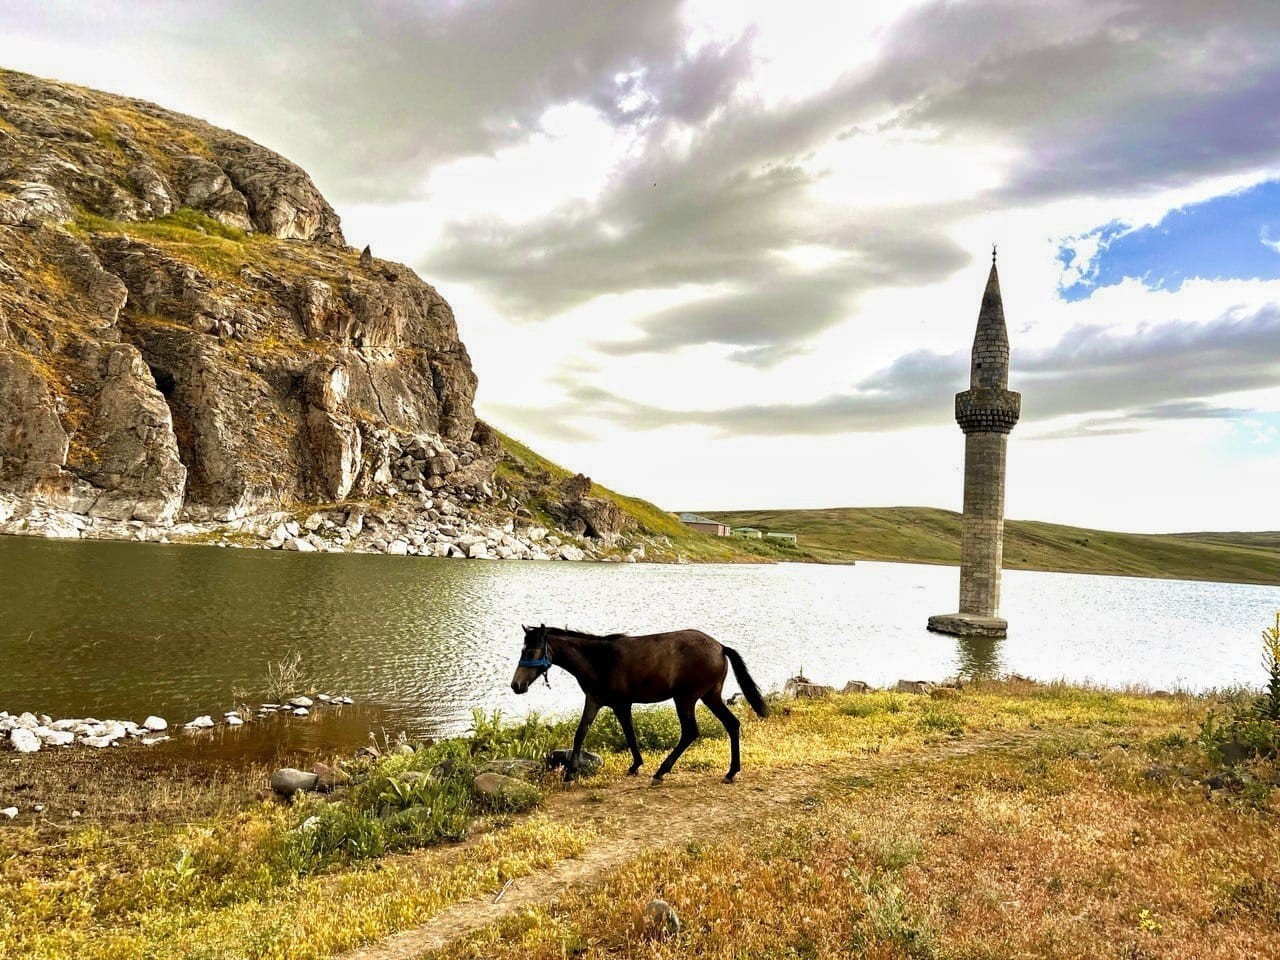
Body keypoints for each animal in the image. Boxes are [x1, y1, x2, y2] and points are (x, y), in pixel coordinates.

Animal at [509, 627, 768, 783]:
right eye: (523, 650)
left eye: (531, 651)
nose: (516, 685)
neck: (599, 660)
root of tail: (720, 647)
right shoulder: (602, 702)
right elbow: (591, 733)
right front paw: (633, 765)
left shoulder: (613, 703)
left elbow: (615, 733)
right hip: (710, 696)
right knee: (732, 724)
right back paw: (731, 772)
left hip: (685, 698)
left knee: (690, 732)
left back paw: (661, 771)